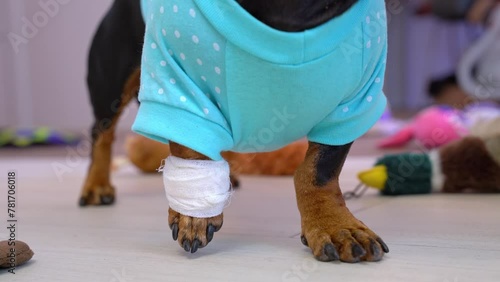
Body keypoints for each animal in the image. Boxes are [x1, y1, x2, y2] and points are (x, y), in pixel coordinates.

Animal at [81, 0, 390, 262]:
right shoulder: (180, 78)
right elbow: (193, 149)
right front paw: (195, 215)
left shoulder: (353, 102)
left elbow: (320, 169)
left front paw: (335, 225)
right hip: (111, 81)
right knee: (102, 134)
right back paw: (96, 185)